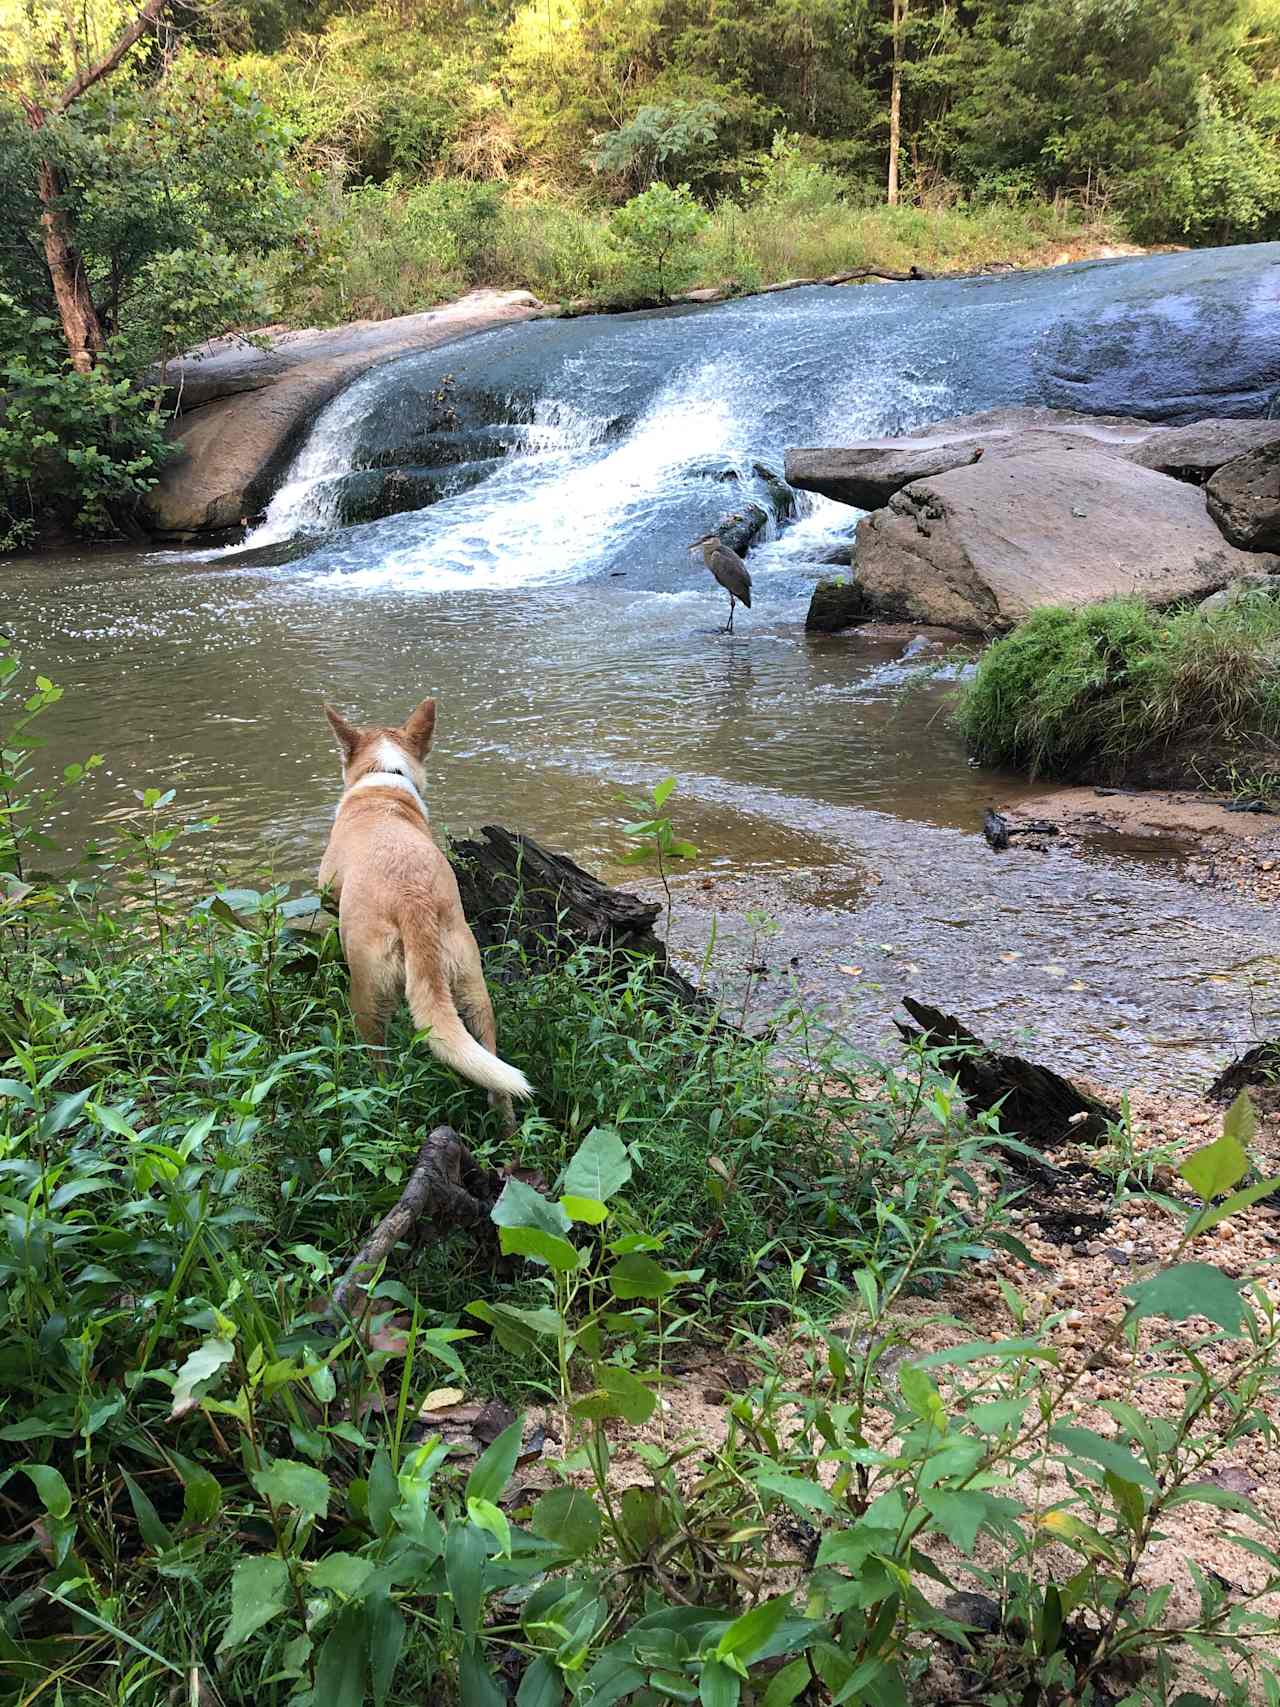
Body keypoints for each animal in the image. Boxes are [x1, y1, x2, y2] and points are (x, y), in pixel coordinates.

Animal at [319, 699, 532, 1126]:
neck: (384, 779)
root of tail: (412, 900)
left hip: (367, 996)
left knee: (379, 1062)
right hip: (472, 987)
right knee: (495, 1078)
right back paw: (508, 1129)